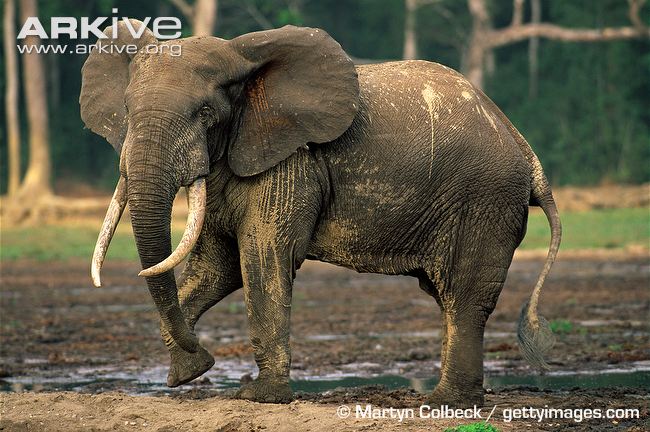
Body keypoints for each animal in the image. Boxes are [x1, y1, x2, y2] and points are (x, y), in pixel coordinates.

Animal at [81, 20, 561, 407]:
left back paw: (446, 402)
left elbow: (262, 256)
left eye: (205, 112)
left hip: (485, 199)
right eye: (126, 111)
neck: (245, 63)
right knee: (450, 297)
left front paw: (259, 396)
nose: (203, 357)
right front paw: (187, 371)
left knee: (465, 295)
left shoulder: (291, 162)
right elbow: (217, 267)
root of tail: (523, 145)